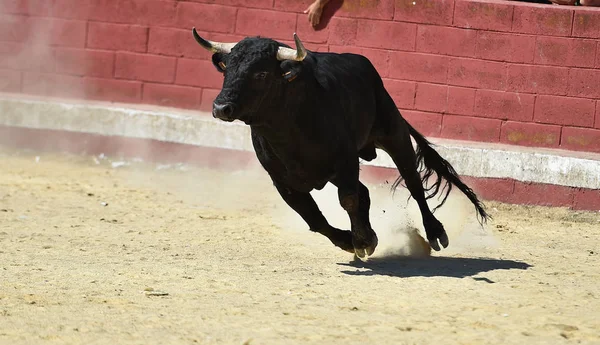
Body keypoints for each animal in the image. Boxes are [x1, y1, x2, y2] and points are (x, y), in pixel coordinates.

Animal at [193, 28, 492, 256]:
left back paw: (434, 233)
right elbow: (313, 218)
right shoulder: (283, 182)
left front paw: (362, 240)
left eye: (261, 74)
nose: (221, 107)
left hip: (394, 134)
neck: (288, 132)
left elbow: (348, 200)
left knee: (413, 183)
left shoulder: (345, 161)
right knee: (366, 193)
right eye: (226, 71)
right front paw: (352, 241)